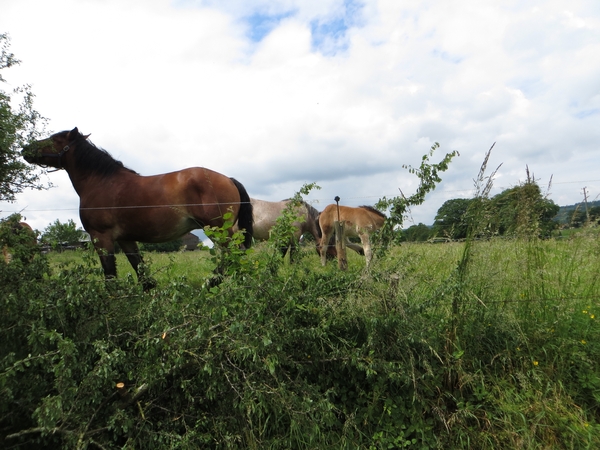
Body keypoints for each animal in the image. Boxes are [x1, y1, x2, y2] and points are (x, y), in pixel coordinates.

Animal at [22, 127, 253, 288]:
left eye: (54, 139)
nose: (25, 149)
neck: (102, 181)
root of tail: (229, 179)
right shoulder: (126, 239)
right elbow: (142, 274)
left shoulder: (101, 238)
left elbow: (110, 277)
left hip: (218, 230)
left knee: (233, 256)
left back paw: (212, 282)